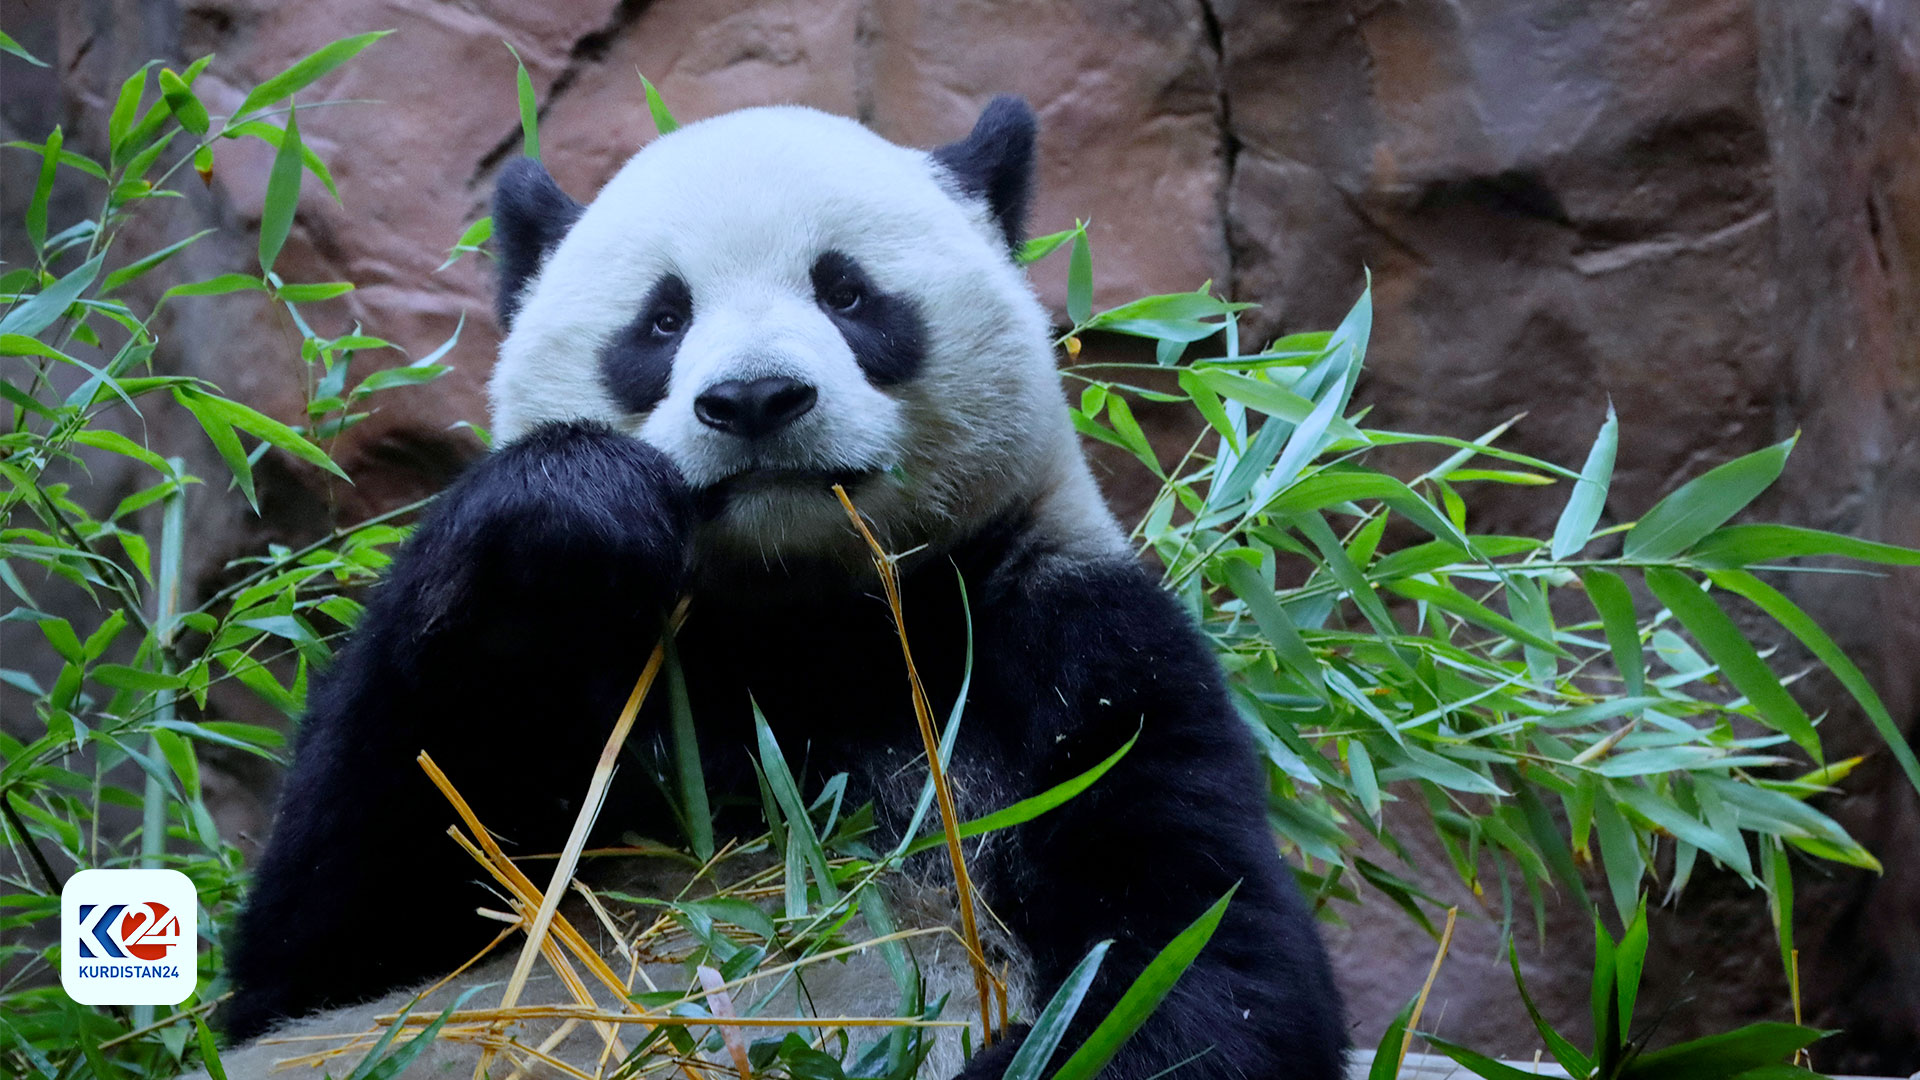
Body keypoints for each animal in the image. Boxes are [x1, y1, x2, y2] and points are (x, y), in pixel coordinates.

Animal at [210, 96, 1344, 1068]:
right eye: (663, 319)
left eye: (846, 292)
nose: (755, 396)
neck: (806, 615)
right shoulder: (601, 696)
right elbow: (335, 945)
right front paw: (570, 509)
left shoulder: (1074, 646)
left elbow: (1201, 967)